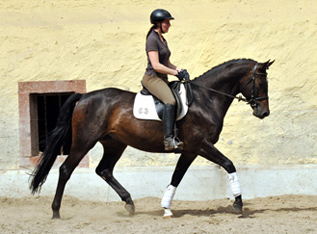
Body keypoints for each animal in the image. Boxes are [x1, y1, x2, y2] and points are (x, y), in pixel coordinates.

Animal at [29, 57, 274, 218]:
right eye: (261, 83)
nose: (264, 113)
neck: (205, 98)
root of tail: (84, 97)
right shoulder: (201, 145)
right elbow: (229, 164)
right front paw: (238, 204)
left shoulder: (190, 150)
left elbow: (177, 177)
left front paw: (166, 207)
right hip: (84, 141)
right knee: (65, 170)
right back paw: (56, 212)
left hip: (115, 144)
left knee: (104, 170)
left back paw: (129, 204)